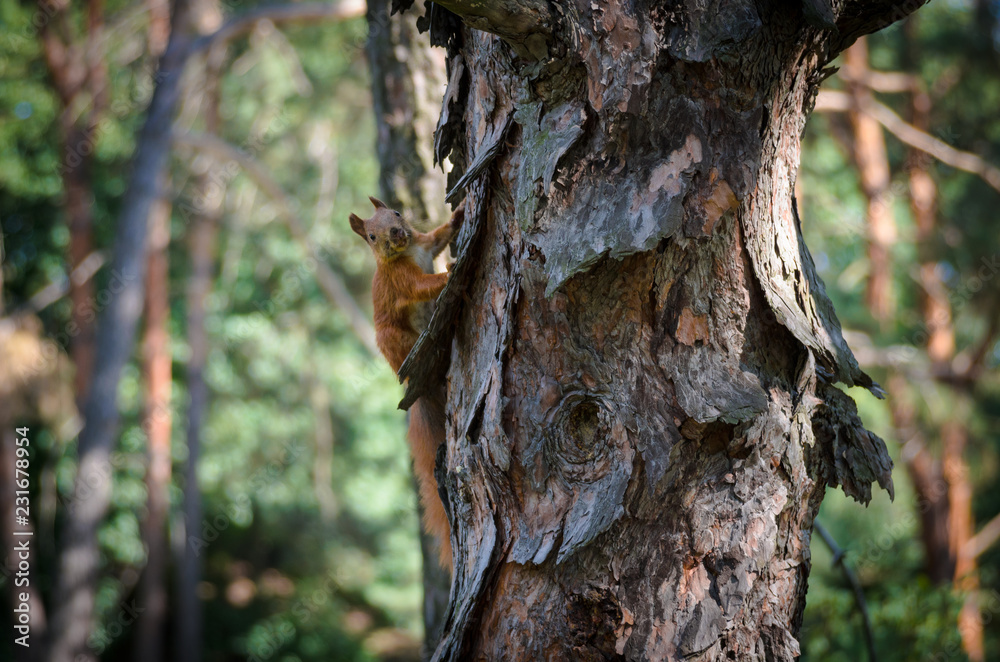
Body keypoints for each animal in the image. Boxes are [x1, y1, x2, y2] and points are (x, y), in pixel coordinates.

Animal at [349, 195, 465, 571]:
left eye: (397, 213)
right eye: (372, 236)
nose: (396, 233)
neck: (408, 251)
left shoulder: (426, 244)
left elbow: (440, 237)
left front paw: (459, 215)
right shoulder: (401, 280)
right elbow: (421, 286)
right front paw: (448, 273)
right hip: (393, 339)